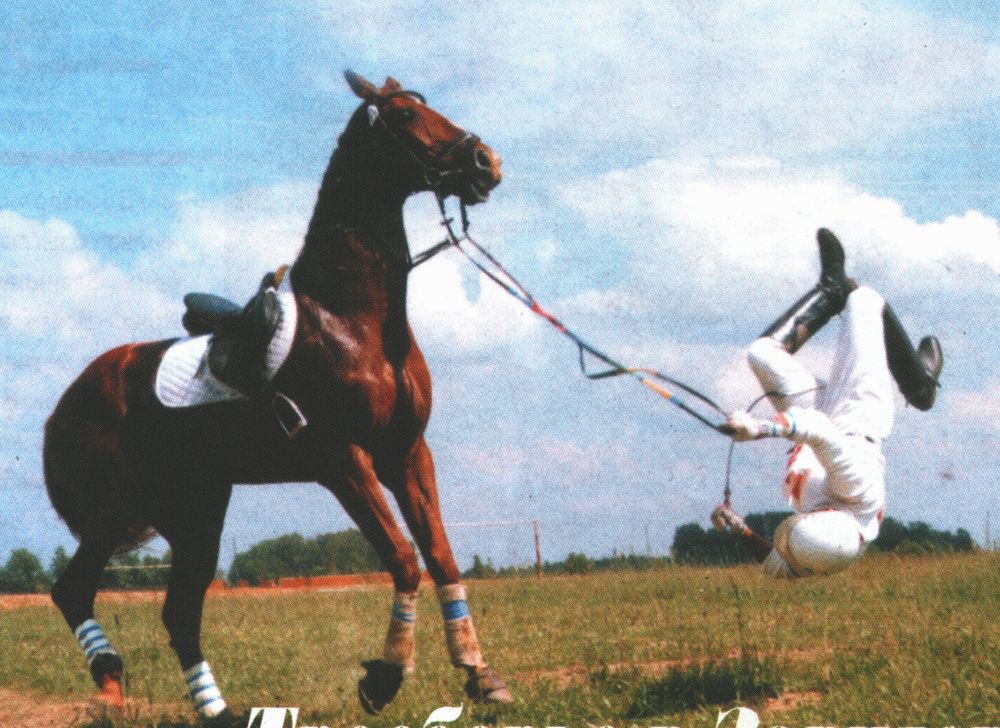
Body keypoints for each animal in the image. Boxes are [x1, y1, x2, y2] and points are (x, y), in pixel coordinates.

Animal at [43, 71, 511, 726]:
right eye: (402, 116)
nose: (484, 162)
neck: (353, 319)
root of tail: (65, 404)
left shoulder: (407, 453)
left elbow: (439, 555)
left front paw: (479, 672)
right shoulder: (344, 461)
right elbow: (403, 557)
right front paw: (384, 678)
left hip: (196, 511)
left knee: (178, 612)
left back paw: (217, 710)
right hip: (119, 510)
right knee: (74, 590)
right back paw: (109, 681)